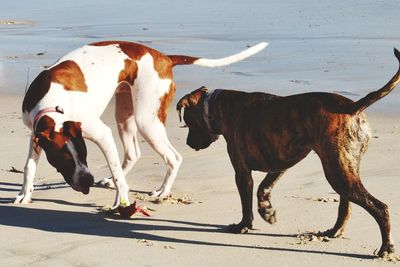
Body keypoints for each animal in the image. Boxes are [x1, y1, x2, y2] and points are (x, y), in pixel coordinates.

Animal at [14, 40, 268, 209]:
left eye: (83, 153)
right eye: (64, 159)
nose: (87, 180)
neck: (55, 104)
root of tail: (164, 57)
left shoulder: (102, 134)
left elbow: (118, 173)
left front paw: (122, 200)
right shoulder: (36, 134)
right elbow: (28, 167)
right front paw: (25, 193)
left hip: (146, 121)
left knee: (173, 158)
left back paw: (163, 192)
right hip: (124, 116)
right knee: (133, 154)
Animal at [177, 48, 400, 258]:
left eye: (188, 123)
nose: (187, 143)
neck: (218, 107)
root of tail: (351, 106)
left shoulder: (242, 172)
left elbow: (246, 201)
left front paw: (243, 226)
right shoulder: (280, 162)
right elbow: (263, 188)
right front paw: (267, 211)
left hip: (338, 173)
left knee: (380, 207)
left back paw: (385, 248)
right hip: (343, 170)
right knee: (346, 206)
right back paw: (333, 232)